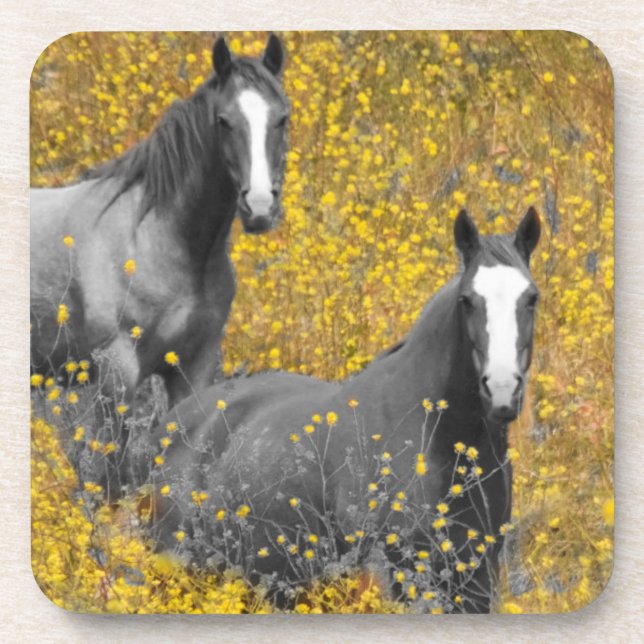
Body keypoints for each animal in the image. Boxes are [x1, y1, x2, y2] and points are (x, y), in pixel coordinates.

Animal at [30, 35, 290, 496]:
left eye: (281, 119)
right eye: (223, 121)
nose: (259, 207)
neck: (157, 238)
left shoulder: (192, 368)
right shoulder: (117, 372)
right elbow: (111, 475)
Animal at [133, 208, 541, 613]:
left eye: (531, 298)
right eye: (467, 300)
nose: (502, 389)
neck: (435, 435)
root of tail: (170, 426)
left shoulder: (475, 580)